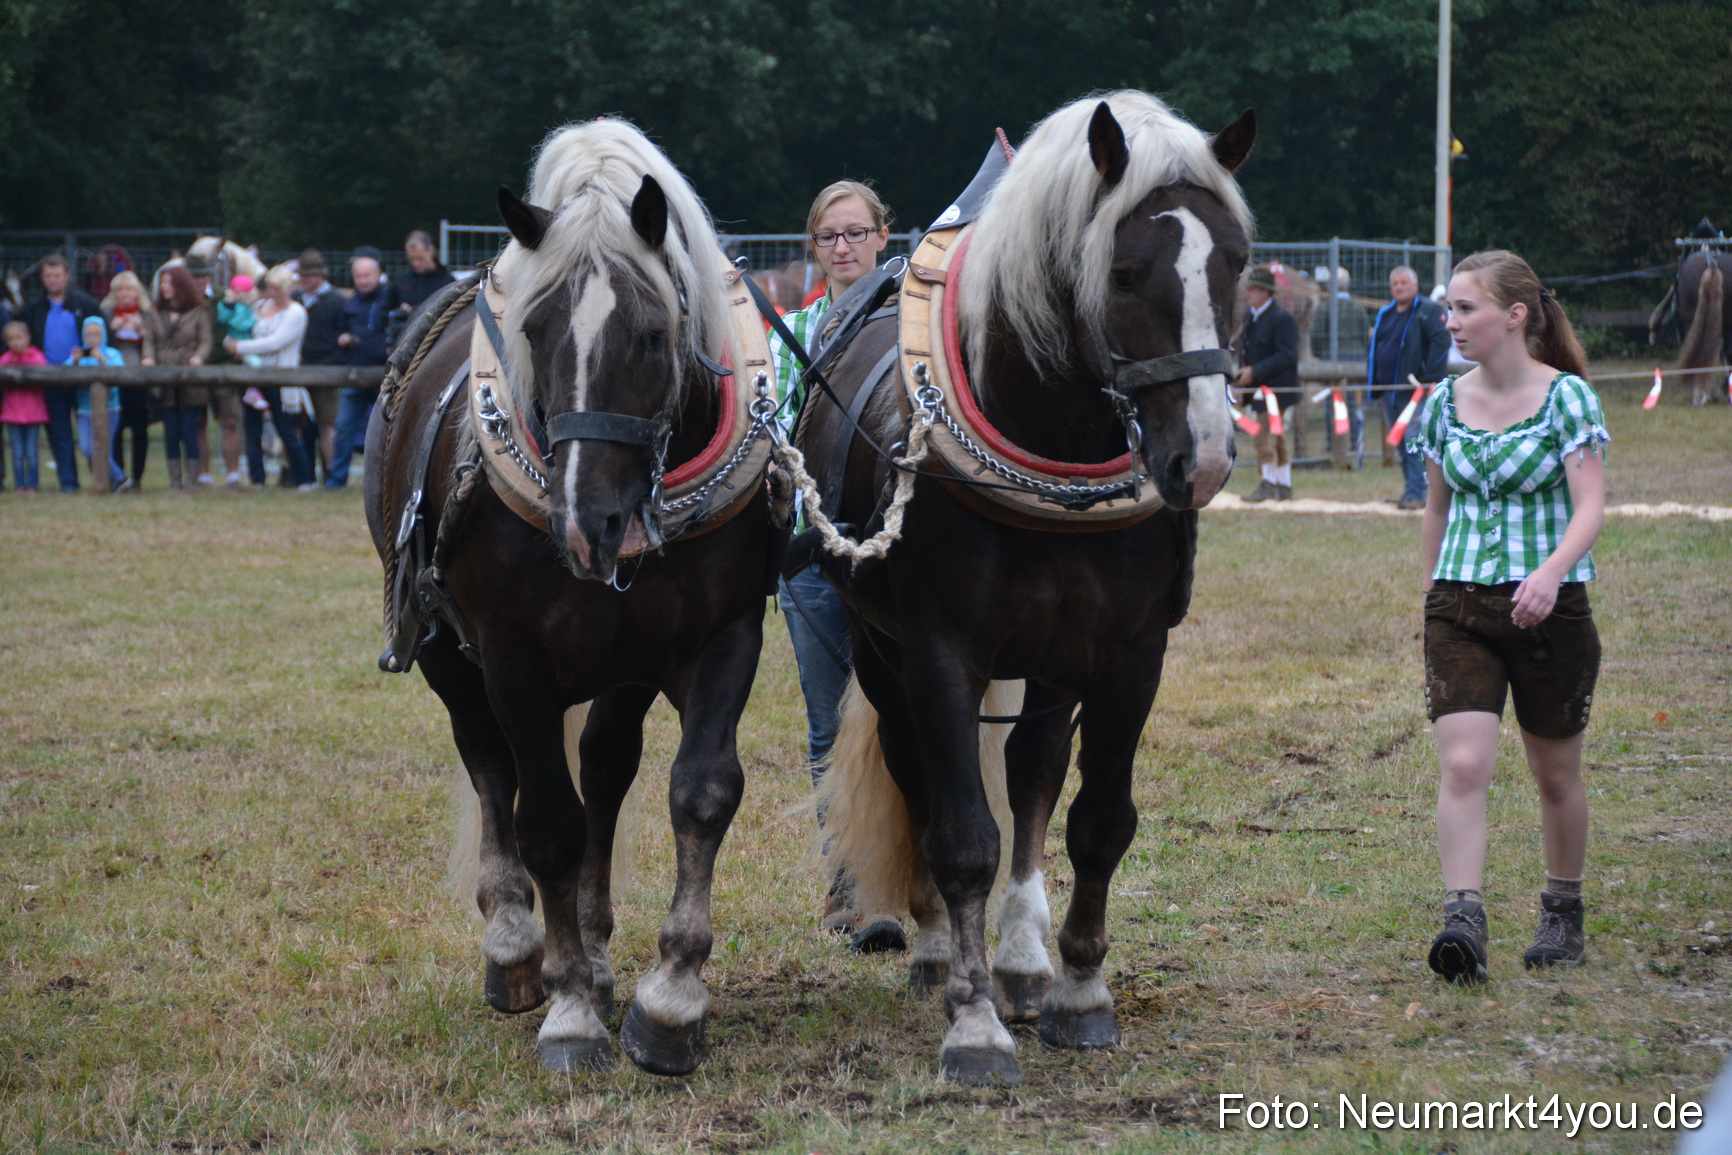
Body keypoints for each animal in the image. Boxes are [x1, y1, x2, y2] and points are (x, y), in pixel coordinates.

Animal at [363, 118, 778, 1076]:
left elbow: (698, 791)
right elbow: (545, 818)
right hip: (446, 653)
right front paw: (571, 1010)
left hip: (620, 664)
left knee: (604, 768)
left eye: (654, 335)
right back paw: (521, 948)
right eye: (536, 327)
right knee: (491, 764)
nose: (590, 520)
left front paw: (669, 1000)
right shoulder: (510, 655)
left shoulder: (721, 636)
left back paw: (588, 947)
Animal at [799, 90, 1253, 1085]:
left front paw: (1080, 991)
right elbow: (963, 836)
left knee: (1034, 766)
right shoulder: (939, 652)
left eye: (1237, 262)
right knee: (920, 775)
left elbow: (1098, 818)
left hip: (1050, 659)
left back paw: (1021, 958)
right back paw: (943, 952)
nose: (1199, 459)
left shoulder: (1130, 653)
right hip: (883, 652)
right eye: (1123, 271)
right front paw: (973, 1025)